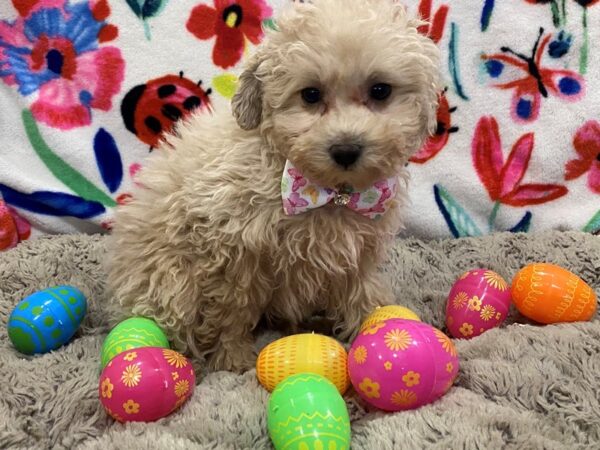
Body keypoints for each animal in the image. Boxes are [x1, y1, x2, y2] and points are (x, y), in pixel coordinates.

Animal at [109, 0, 440, 372]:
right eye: (310, 95)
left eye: (380, 90)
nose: (345, 150)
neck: (330, 194)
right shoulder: (232, 251)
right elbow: (231, 308)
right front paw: (232, 357)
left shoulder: (357, 249)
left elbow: (360, 290)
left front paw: (375, 323)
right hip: (171, 282)